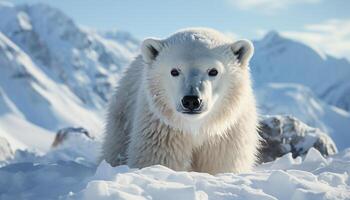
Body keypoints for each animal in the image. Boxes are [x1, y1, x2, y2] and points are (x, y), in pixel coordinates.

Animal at [102, 27, 260, 174]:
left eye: (213, 71)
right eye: (174, 71)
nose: (191, 100)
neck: (196, 128)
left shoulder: (226, 137)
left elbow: (223, 165)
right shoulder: (163, 133)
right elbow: (158, 159)